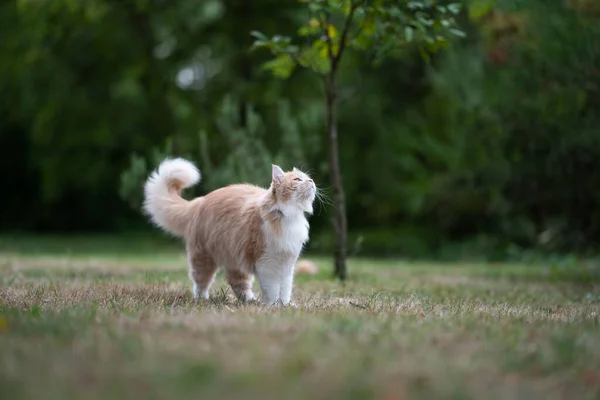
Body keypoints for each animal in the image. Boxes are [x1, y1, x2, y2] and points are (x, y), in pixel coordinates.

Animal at [142, 158, 316, 304]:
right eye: (298, 179)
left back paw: (250, 300)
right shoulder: (267, 263)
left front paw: (284, 305)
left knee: (237, 283)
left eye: (307, 177)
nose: (312, 181)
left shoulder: (287, 264)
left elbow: (285, 289)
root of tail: (200, 201)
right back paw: (202, 299)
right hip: (204, 259)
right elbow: (273, 289)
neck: (288, 216)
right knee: (200, 283)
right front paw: (272, 306)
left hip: (235, 260)